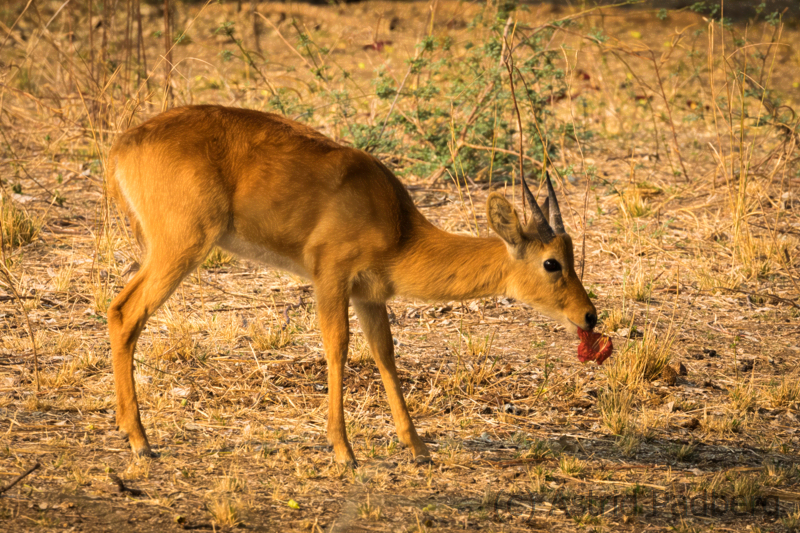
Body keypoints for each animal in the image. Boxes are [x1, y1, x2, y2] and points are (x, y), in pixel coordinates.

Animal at [106, 103, 600, 462]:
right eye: (552, 263)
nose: (590, 316)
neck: (397, 228)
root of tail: (124, 144)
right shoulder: (330, 278)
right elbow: (337, 348)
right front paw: (343, 450)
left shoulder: (369, 294)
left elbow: (385, 355)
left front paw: (417, 447)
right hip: (181, 248)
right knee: (126, 313)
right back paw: (140, 441)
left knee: (117, 310)